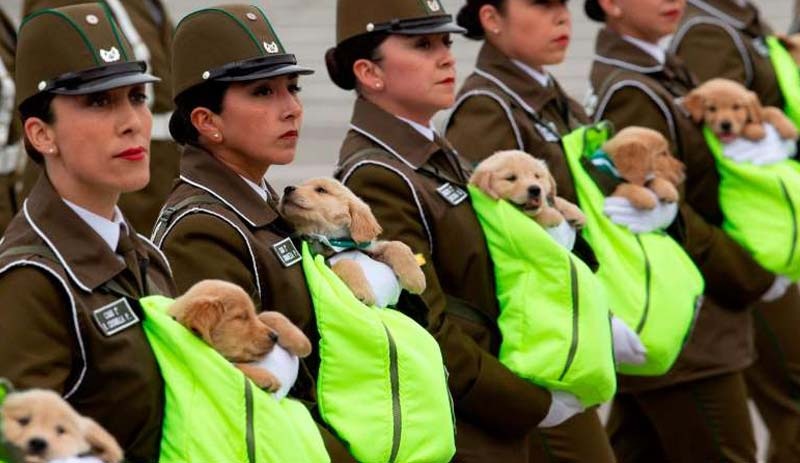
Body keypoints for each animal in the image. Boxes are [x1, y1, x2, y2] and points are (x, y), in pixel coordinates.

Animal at [170, 280, 312, 392]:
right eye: (241, 317)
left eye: (251, 313)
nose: (275, 337)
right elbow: (230, 365)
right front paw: (264, 377)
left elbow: (266, 314)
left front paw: (302, 343)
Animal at [280, 176, 428, 306]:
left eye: (321, 190)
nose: (287, 188)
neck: (333, 241)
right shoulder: (323, 262)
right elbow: (346, 262)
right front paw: (363, 291)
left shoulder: (370, 249)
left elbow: (398, 245)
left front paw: (416, 278)